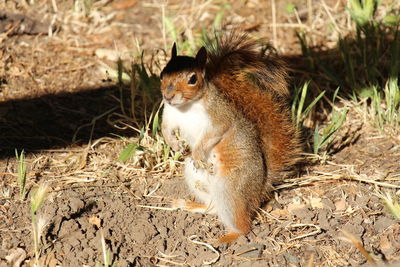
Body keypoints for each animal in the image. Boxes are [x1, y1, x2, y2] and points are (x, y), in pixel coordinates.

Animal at [159, 31, 300, 245]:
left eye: (192, 79)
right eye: (162, 74)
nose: (168, 96)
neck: (186, 107)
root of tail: (259, 189)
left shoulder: (218, 116)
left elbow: (215, 132)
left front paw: (197, 153)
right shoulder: (169, 115)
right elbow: (166, 130)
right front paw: (175, 145)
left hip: (231, 188)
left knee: (243, 225)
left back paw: (225, 238)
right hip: (195, 177)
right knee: (213, 207)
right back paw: (190, 205)